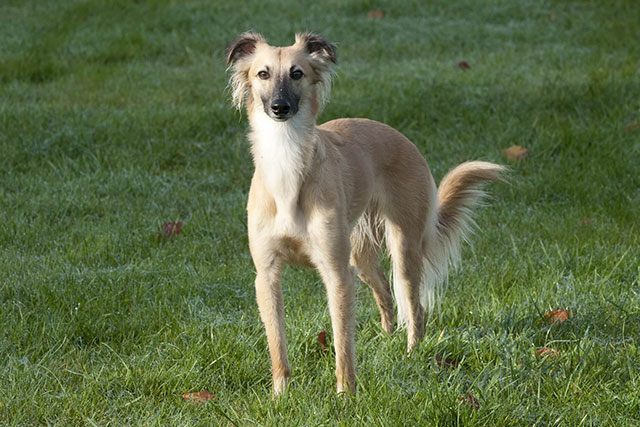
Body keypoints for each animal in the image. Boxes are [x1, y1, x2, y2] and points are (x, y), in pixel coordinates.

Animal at [225, 32, 504, 394]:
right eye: (263, 74)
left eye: (297, 73)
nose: (279, 107)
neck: (287, 167)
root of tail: (400, 136)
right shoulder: (267, 275)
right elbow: (277, 343)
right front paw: (281, 394)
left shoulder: (336, 273)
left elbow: (343, 341)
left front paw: (346, 393)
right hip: (360, 255)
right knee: (385, 292)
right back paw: (388, 339)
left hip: (403, 247)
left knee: (414, 306)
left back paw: (411, 354)